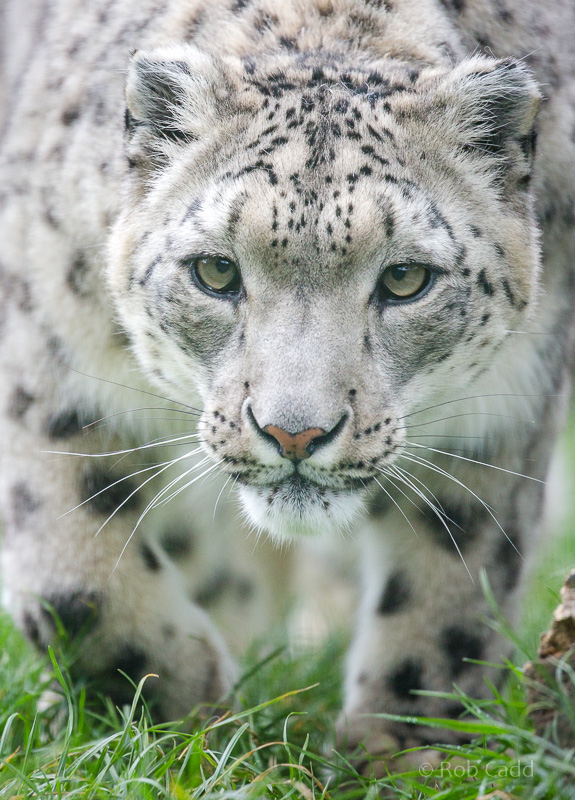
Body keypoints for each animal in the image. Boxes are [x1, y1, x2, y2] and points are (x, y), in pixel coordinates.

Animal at [2, 0, 575, 766]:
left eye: (404, 278)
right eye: (215, 271)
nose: (294, 432)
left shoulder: (496, 420)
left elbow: (451, 590)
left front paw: (402, 749)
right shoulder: (50, 367)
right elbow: (76, 574)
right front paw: (174, 715)